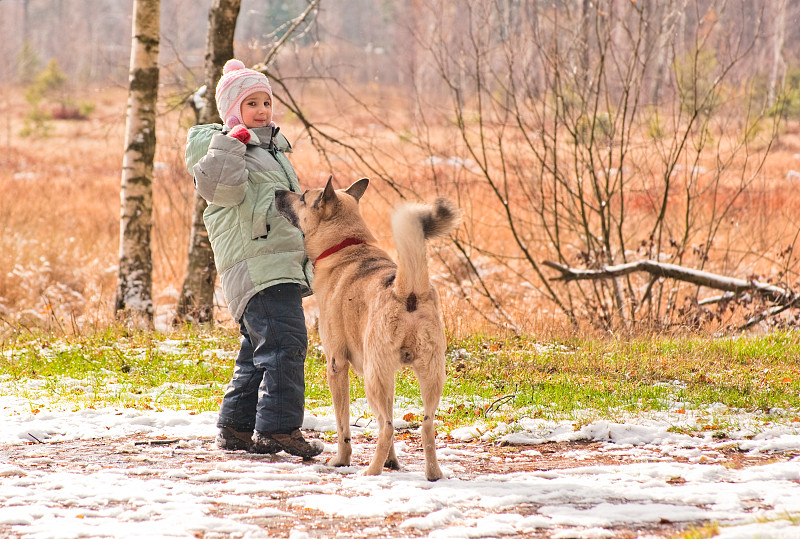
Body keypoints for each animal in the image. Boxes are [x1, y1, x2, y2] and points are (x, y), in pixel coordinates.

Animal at [276, 177, 460, 480]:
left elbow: (343, 424)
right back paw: (433, 473)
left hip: (374, 380)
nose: (277, 192)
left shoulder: (337, 365)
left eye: (303, 196)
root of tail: (408, 291)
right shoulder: (389, 377)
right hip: (428, 376)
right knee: (424, 425)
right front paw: (392, 462)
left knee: (386, 426)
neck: (347, 245)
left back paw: (371, 472)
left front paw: (341, 460)